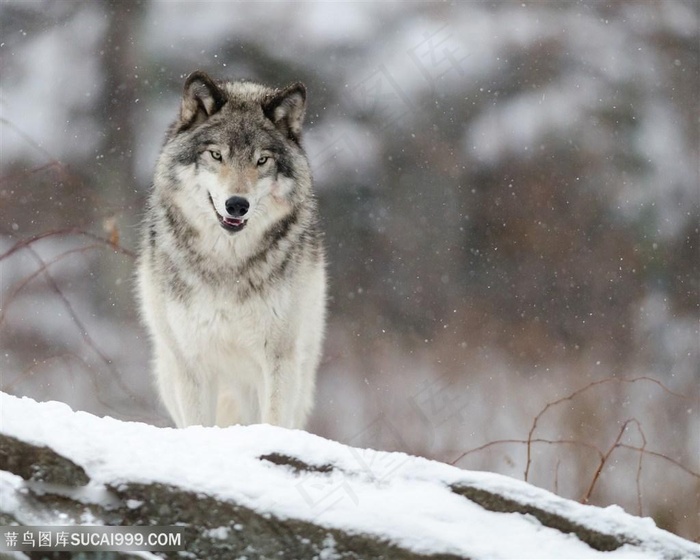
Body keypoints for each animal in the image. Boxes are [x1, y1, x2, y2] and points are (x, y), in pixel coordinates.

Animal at [137, 70, 328, 428]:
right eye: (216, 155)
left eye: (262, 160)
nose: (237, 205)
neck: (228, 263)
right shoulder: (192, 361)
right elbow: (198, 425)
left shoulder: (279, 356)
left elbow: (274, 421)